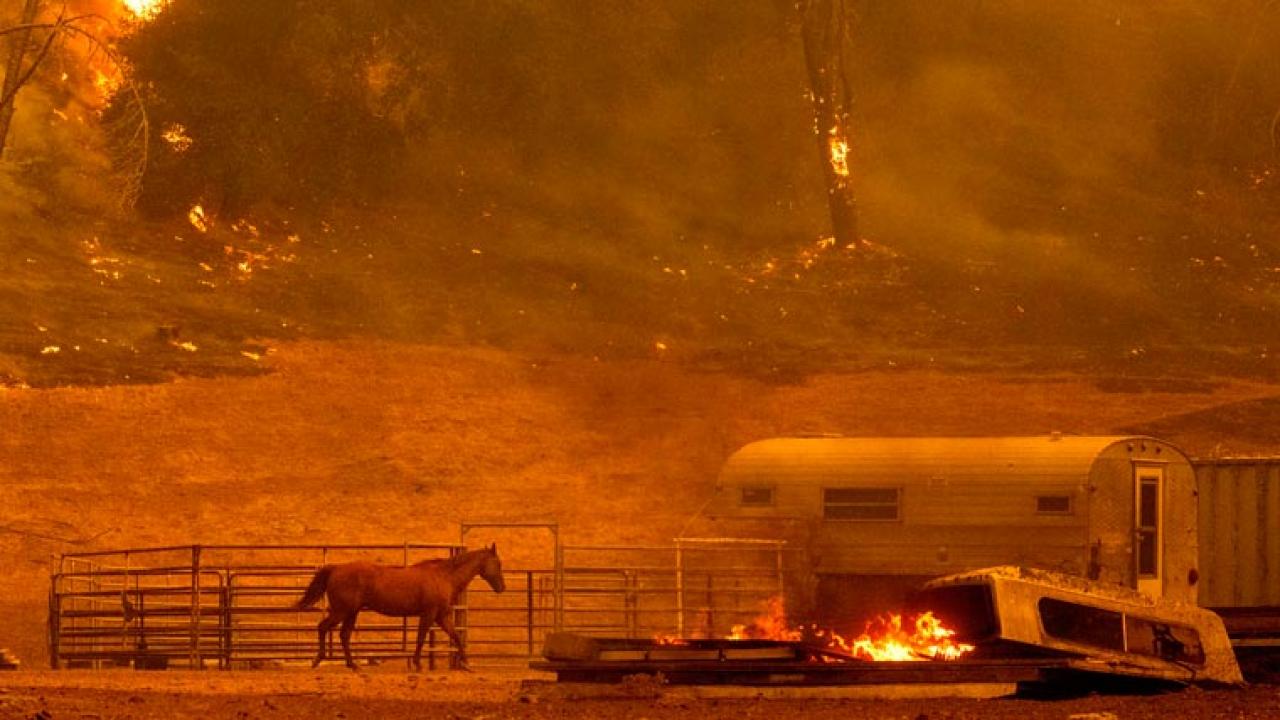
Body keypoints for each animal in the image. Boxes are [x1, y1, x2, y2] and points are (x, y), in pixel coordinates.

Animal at [294, 540, 504, 671]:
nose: (502, 587)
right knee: (323, 627)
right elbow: (420, 638)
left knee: (344, 635)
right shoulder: (429, 614)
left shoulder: (441, 616)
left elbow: (456, 637)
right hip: (341, 611)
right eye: (498, 563)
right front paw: (418, 664)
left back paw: (352, 665)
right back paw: (318, 659)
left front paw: (467, 664)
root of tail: (336, 569)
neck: (444, 576)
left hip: (351, 612)